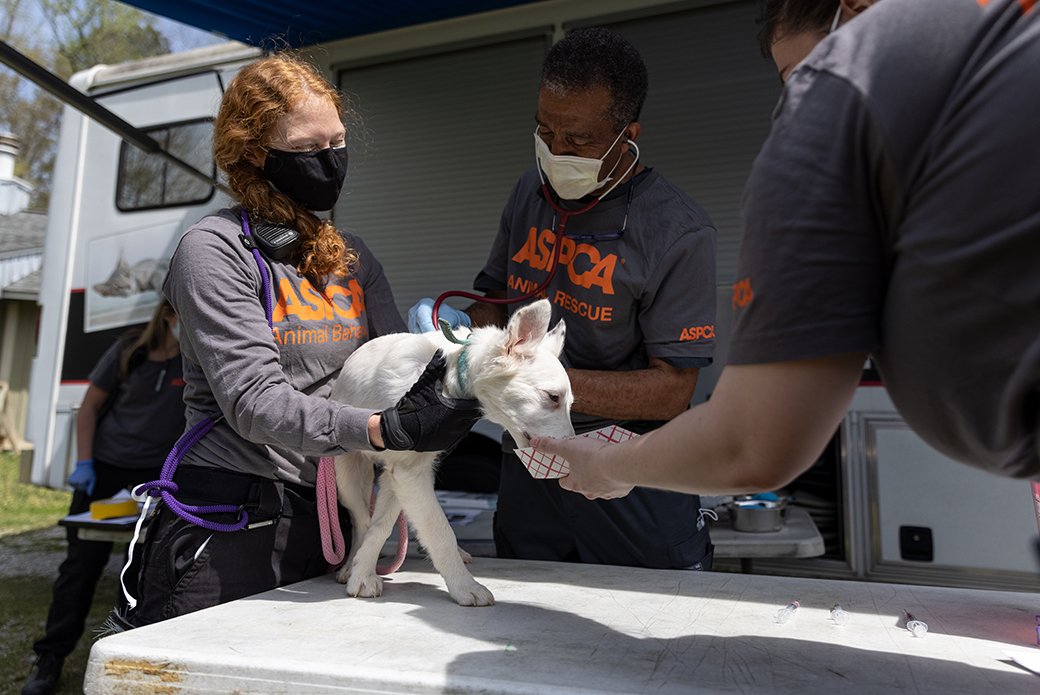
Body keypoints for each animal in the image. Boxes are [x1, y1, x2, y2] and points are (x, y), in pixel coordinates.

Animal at [328, 301, 574, 603]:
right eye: (553, 397)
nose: (573, 461)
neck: (451, 372)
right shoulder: (407, 469)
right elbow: (434, 528)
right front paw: (464, 586)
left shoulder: (404, 471)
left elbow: (384, 524)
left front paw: (363, 570)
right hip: (347, 470)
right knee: (360, 515)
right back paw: (348, 564)